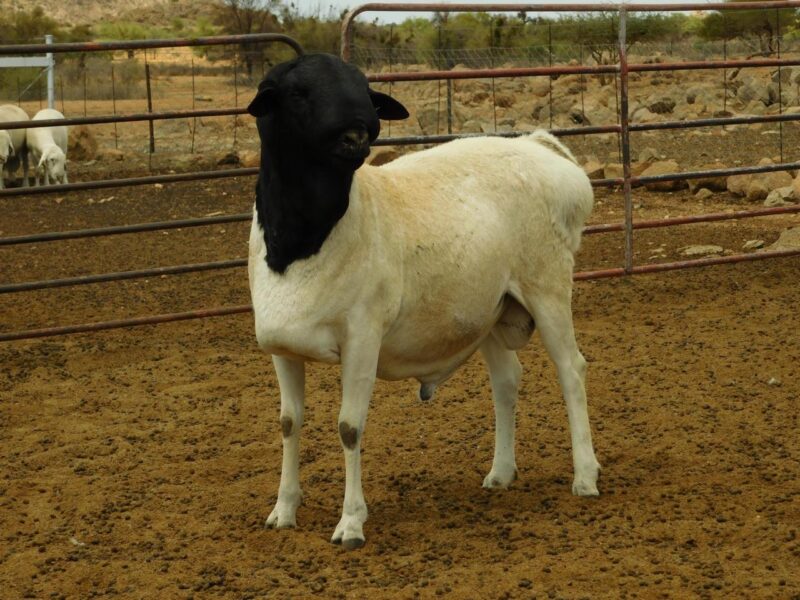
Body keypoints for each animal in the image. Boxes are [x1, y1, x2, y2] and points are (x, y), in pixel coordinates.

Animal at [244, 54, 600, 552]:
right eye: (298, 92)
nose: (359, 132)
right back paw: (500, 473)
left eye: (366, 90)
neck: (301, 241)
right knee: (507, 381)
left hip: (547, 285)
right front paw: (283, 510)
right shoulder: (282, 349)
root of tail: (542, 147)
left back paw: (585, 475)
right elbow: (289, 423)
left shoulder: (362, 337)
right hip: (489, 308)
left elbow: (349, 427)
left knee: (571, 371)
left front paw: (351, 523)